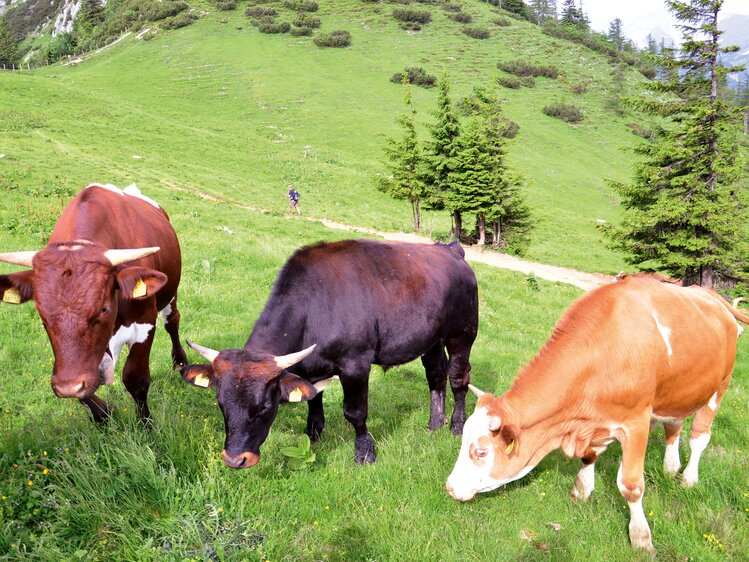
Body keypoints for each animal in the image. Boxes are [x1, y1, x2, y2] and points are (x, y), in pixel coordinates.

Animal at [0, 183, 190, 420]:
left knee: (172, 322)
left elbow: (135, 378)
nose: (67, 387)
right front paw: (104, 414)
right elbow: (84, 387)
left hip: (170, 293)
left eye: (104, 309)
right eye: (43, 317)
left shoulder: (145, 322)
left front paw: (146, 423)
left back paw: (180, 361)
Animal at [180, 238, 480, 466]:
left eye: (264, 407)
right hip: (431, 340)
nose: (234, 459)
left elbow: (355, 411)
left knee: (458, 378)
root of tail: (450, 248)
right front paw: (312, 434)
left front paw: (365, 452)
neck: (314, 308)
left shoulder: (356, 363)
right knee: (436, 376)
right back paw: (434, 423)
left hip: (463, 333)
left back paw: (456, 426)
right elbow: (313, 399)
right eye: (220, 402)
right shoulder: (309, 367)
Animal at [448, 274, 744, 548]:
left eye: (481, 451)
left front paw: (641, 537)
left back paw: (689, 478)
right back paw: (671, 467)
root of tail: (711, 295)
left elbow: (631, 486)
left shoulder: (636, 422)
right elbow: (589, 456)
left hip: (720, 386)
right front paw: (581, 490)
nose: (450, 488)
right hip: (677, 392)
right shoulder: (596, 422)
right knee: (673, 424)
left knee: (699, 437)